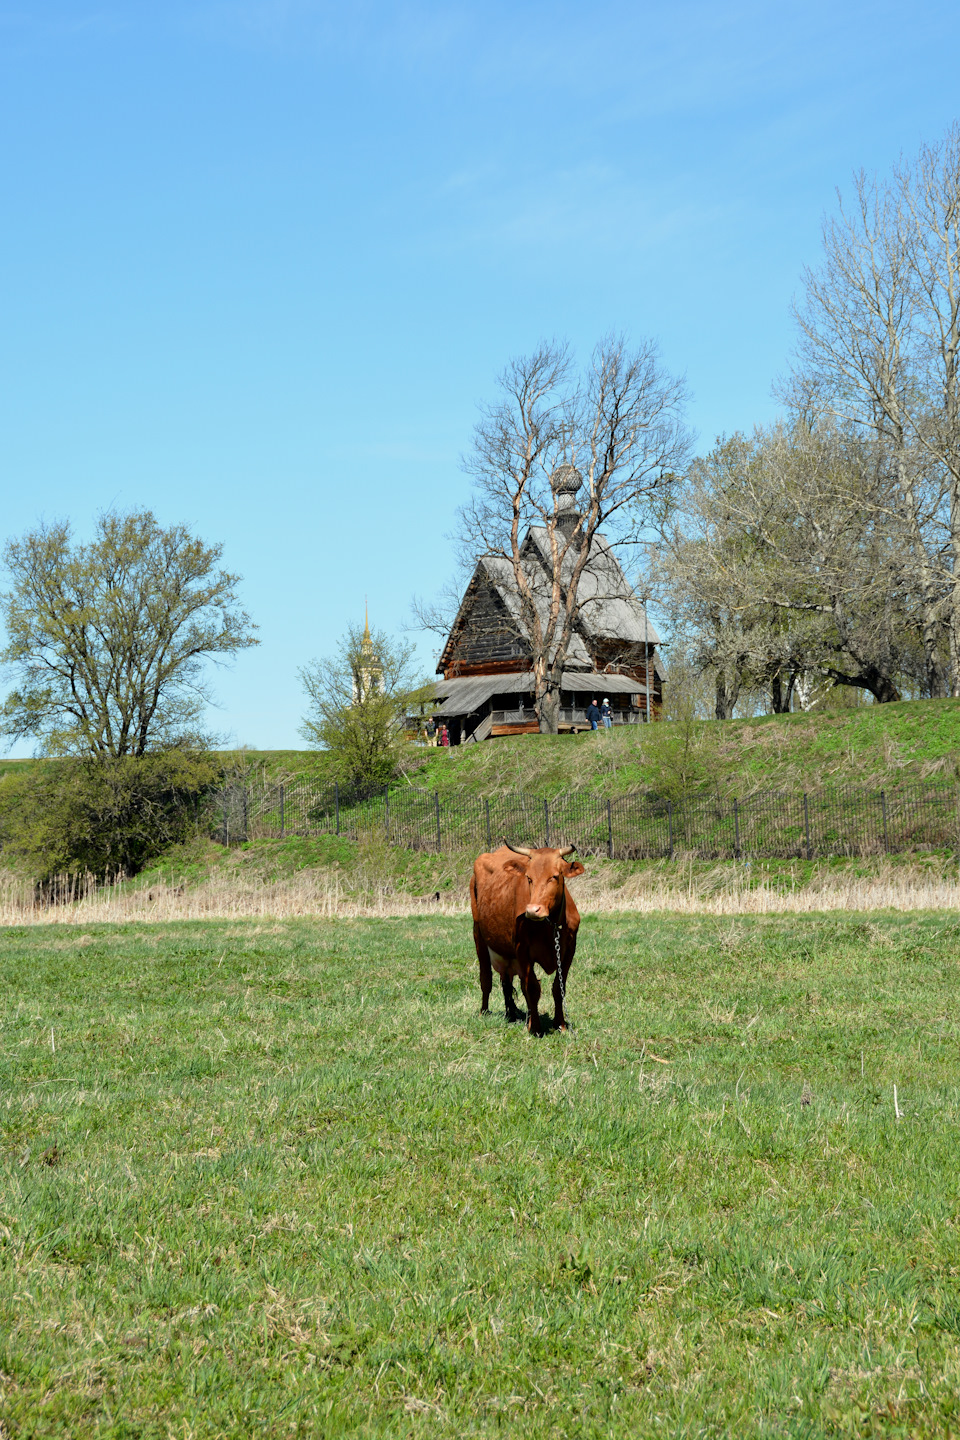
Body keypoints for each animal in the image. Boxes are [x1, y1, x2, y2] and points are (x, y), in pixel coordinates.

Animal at [472, 840, 587, 1036]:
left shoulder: (569, 949)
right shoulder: (522, 949)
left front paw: (560, 1024)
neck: (549, 926)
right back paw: (485, 1012)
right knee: (486, 979)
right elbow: (532, 988)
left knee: (507, 980)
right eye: (529, 878)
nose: (533, 910)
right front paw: (535, 1028)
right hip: (478, 934)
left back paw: (512, 1013)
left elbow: (558, 987)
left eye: (554, 876)